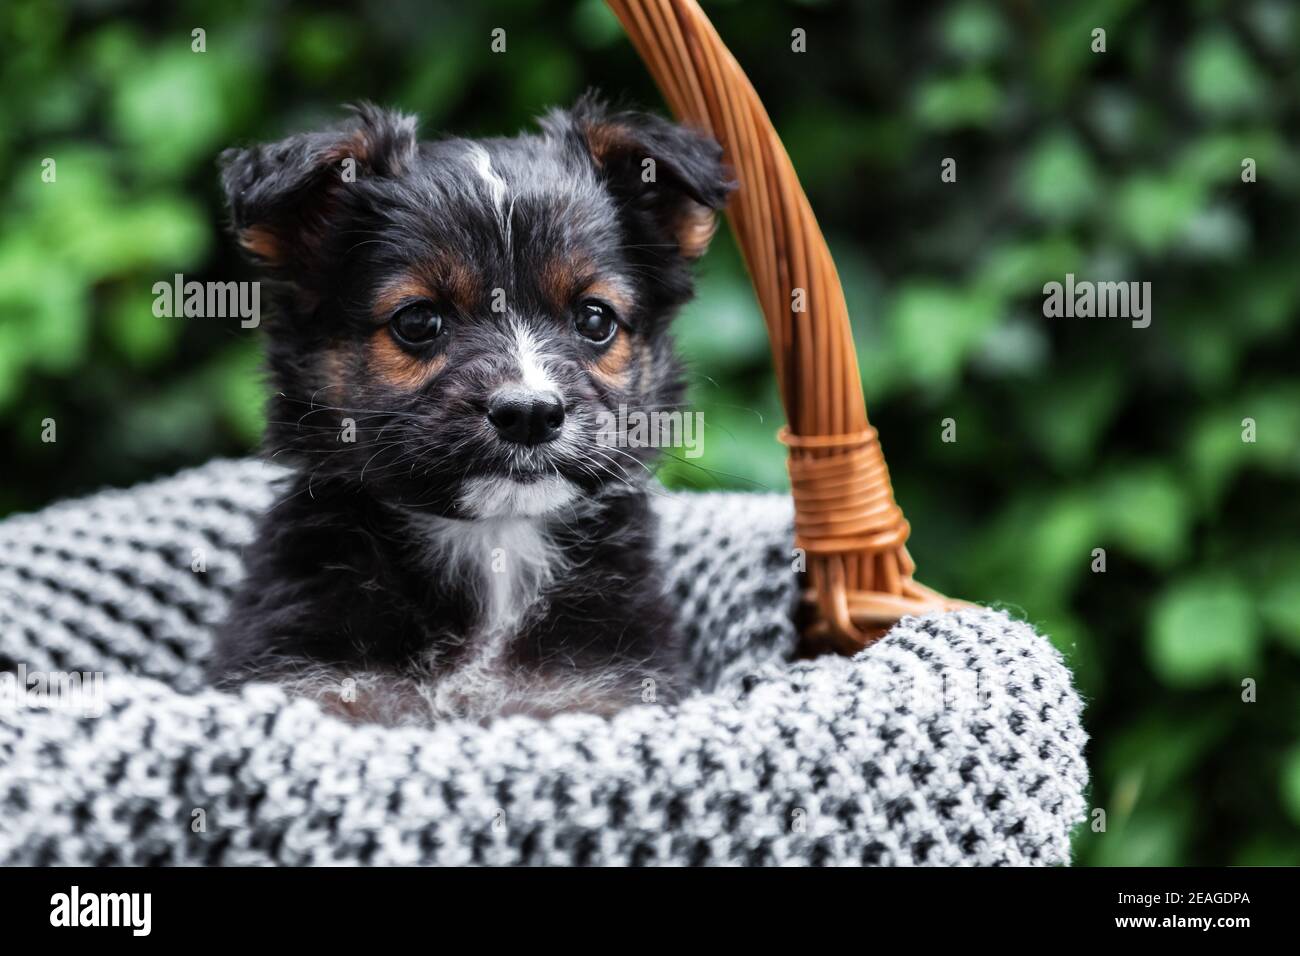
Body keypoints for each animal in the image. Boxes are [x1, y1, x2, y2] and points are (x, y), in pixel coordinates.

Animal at [204, 95, 733, 723]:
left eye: (595, 318)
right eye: (417, 320)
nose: (530, 414)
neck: (494, 546)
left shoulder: (602, 690)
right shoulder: (310, 682)